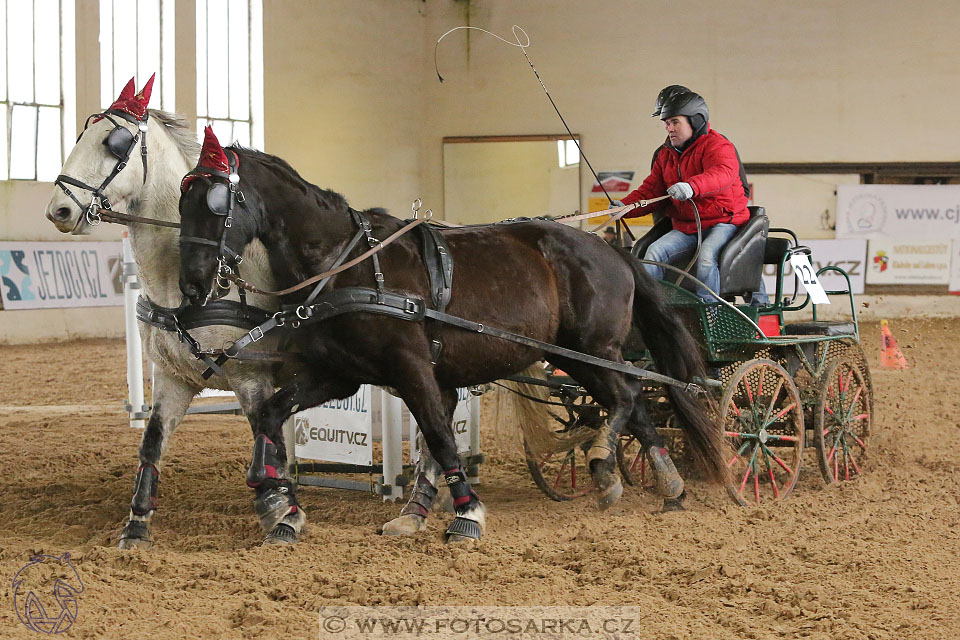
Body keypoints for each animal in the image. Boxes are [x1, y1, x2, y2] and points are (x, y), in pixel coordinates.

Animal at [176, 132, 724, 544]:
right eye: (182, 203)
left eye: (217, 202)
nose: (192, 284)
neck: (342, 262)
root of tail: (612, 248)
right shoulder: (339, 375)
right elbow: (271, 413)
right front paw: (277, 505)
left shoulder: (411, 367)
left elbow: (439, 438)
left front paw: (467, 514)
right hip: (575, 356)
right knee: (634, 403)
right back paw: (660, 484)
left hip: (594, 350)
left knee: (628, 394)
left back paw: (607, 464)